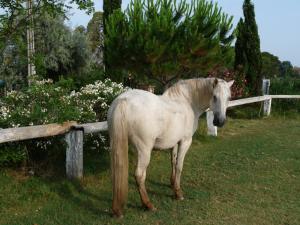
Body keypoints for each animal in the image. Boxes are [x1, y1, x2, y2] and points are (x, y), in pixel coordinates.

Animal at [108, 77, 234, 216]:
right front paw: (178, 193)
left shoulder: (174, 142)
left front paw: (172, 184)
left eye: (229, 97)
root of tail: (123, 100)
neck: (187, 101)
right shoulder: (185, 141)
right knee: (139, 175)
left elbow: (173, 161)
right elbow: (179, 166)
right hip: (144, 150)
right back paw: (148, 205)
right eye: (215, 96)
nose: (220, 121)